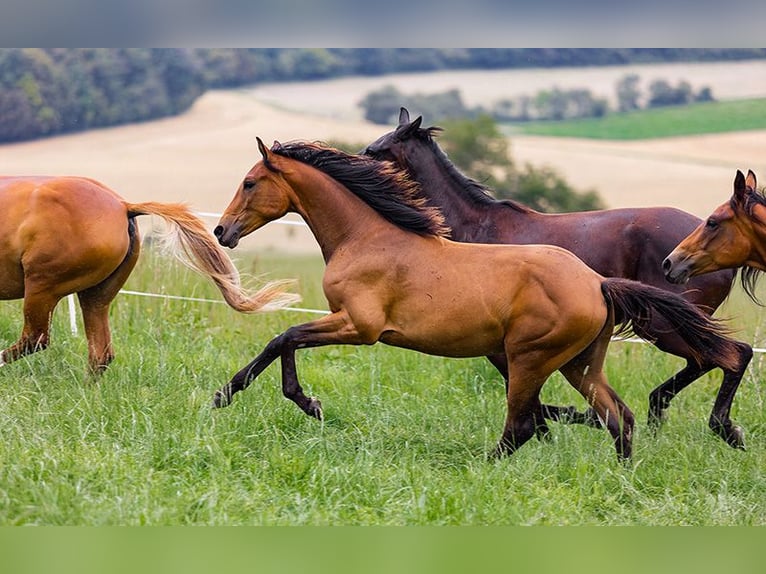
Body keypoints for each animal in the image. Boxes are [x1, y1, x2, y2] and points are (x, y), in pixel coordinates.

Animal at [212, 141, 744, 464]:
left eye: (251, 182)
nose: (222, 230)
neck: (366, 237)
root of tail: (596, 282)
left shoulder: (358, 327)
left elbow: (284, 337)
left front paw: (291, 401)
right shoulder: (348, 324)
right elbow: (284, 341)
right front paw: (241, 396)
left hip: (532, 357)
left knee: (524, 424)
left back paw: (483, 466)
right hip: (579, 363)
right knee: (618, 416)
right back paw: (624, 476)